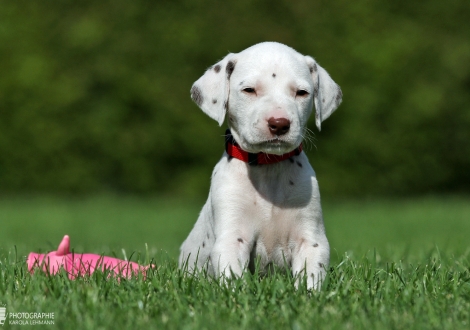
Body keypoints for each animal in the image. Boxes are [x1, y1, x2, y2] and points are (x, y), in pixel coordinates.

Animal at [180, 42, 342, 288]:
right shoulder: (232, 237)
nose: (279, 124)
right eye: (249, 90)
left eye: (302, 93)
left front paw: (307, 295)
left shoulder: (310, 239)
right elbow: (234, 278)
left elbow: (310, 277)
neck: (268, 165)